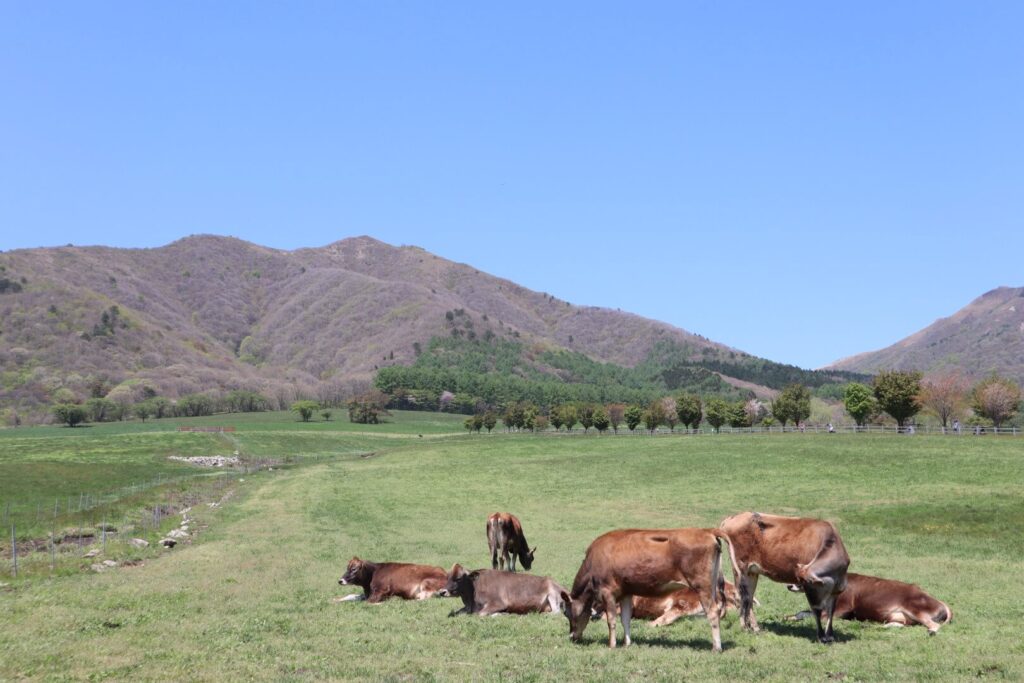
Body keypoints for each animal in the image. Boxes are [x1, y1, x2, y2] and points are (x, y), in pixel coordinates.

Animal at [561, 528, 729, 651]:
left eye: (566, 613)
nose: (572, 637)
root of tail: (706, 531)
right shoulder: (626, 593)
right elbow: (625, 619)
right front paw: (626, 643)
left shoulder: (607, 591)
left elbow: (611, 620)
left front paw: (612, 645)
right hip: (712, 586)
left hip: (702, 586)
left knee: (712, 612)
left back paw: (716, 648)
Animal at [716, 511, 851, 647]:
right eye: (804, 585)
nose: (790, 586)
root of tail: (732, 518)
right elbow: (817, 613)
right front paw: (822, 636)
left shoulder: (836, 591)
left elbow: (830, 612)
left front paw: (830, 635)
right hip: (741, 569)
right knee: (742, 598)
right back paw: (745, 627)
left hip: (752, 572)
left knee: (748, 599)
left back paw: (754, 628)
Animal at [790, 573, 950, 634]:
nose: (790, 585)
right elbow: (802, 612)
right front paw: (789, 617)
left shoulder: (842, 608)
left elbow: (814, 616)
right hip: (897, 615)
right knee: (903, 624)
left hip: (916, 609)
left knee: (933, 624)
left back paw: (931, 631)